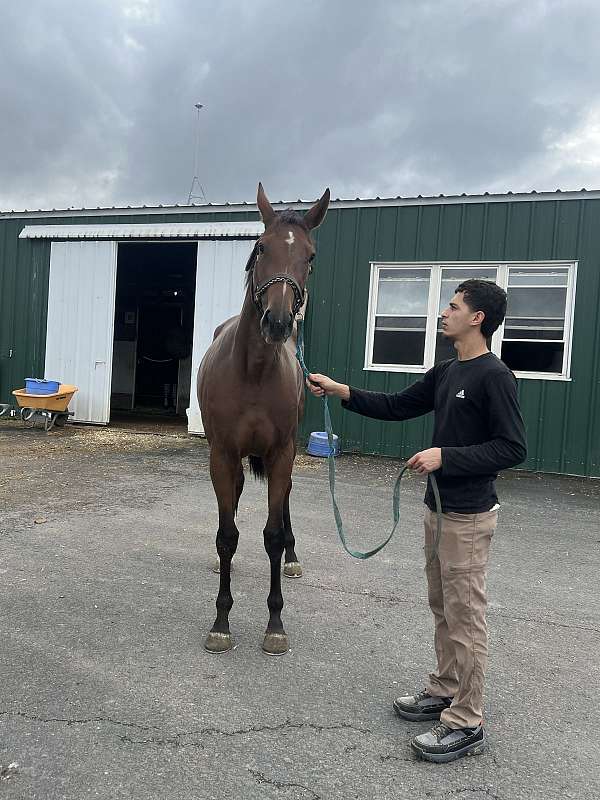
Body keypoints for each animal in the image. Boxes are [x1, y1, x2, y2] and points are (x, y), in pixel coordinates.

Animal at [198, 183, 330, 656]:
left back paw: (292, 557)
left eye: (310, 256)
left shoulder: (282, 453)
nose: (276, 322)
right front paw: (221, 622)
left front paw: (275, 623)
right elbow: (227, 535)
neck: (253, 371)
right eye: (261, 247)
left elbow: (271, 534)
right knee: (234, 502)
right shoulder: (222, 454)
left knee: (284, 503)